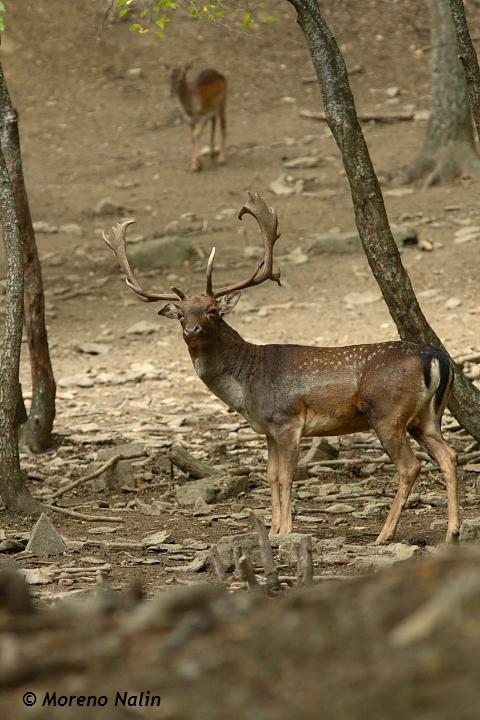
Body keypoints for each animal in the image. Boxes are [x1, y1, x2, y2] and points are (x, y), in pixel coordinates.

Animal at [103, 193, 460, 544]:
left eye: (213, 310)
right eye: (180, 315)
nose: (192, 330)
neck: (247, 384)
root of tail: (436, 357)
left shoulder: (288, 420)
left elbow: (287, 475)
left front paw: (286, 530)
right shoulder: (268, 428)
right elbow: (271, 475)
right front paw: (273, 529)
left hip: (387, 412)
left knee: (409, 466)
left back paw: (385, 535)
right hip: (426, 416)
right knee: (449, 455)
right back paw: (452, 531)